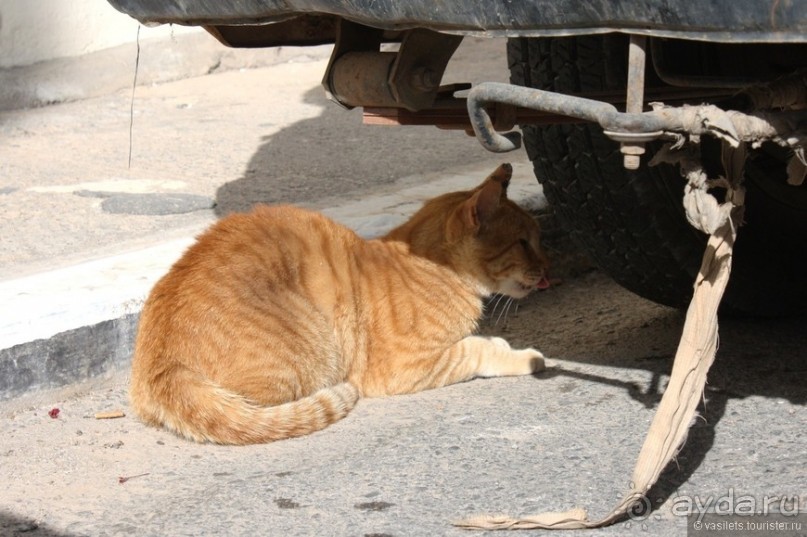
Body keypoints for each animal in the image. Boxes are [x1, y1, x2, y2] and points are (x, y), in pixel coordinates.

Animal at [131, 163, 548, 444]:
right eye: (524, 242)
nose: (549, 267)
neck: (431, 266)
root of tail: (161, 365)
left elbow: (479, 342)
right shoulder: (404, 366)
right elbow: (475, 349)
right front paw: (523, 356)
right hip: (311, 351)